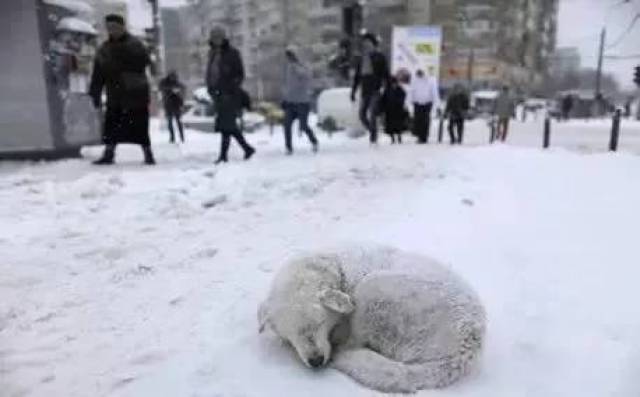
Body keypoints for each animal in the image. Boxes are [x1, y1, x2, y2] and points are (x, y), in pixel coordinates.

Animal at [256, 244, 484, 392]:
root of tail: (466, 347)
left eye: (320, 323)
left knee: (352, 344)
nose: (316, 361)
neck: (336, 268)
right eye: (291, 334)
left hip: (372, 289)